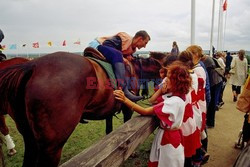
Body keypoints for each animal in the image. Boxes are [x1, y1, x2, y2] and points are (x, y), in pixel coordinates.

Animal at [0, 51, 162, 166]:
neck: (133, 69)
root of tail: (31, 66)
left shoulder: (108, 111)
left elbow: (109, 131)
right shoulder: (127, 109)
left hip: (30, 139)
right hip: (51, 147)